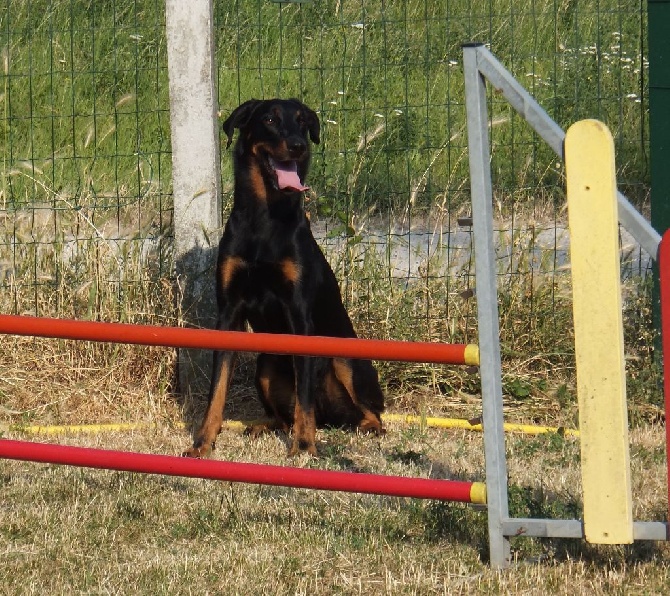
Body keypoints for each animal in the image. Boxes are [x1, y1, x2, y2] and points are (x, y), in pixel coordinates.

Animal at [184, 100, 386, 458]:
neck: (265, 218)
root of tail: (331, 416)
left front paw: (304, 447)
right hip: (265, 366)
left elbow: (304, 397)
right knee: (287, 415)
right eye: (269, 119)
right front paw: (203, 442)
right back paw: (263, 426)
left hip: (345, 358)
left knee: (365, 411)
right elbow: (217, 389)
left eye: (303, 123)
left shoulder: (299, 313)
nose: (298, 145)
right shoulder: (229, 312)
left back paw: (365, 427)